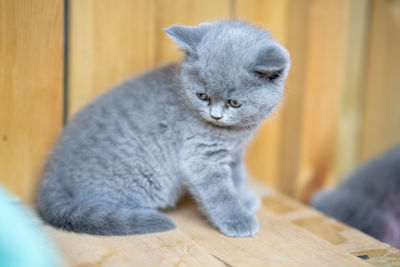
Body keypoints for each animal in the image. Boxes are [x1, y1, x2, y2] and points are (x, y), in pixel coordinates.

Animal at [37, 21, 290, 239]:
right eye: (202, 96)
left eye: (234, 103)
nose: (215, 115)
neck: (234, 133)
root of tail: (51, 172)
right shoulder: (200, 154)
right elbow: (220, 192)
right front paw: (238, 219)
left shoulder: (234, 153)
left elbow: (237, 177)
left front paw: (244, 199)